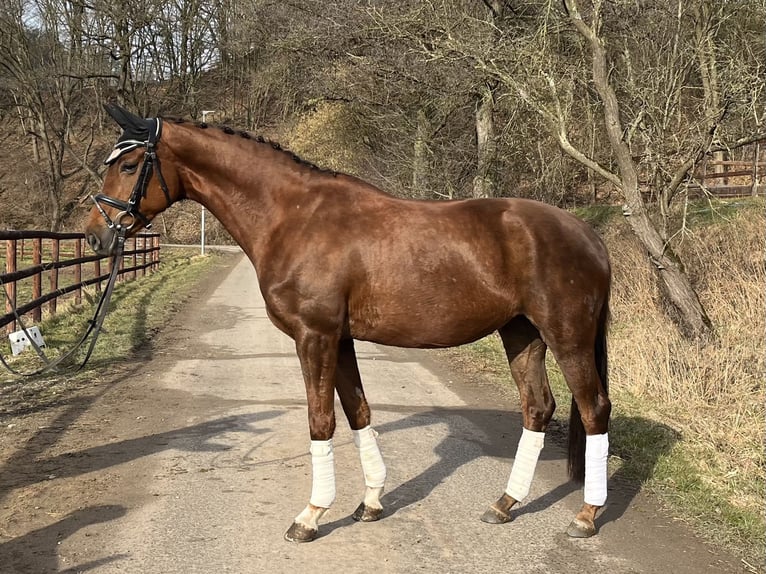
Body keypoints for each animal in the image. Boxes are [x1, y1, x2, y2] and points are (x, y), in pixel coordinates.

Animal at [85, 103, 612, 544]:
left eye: (128, 166)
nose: (94, 236)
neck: (292, 217)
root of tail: (587, 233)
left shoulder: (314, 337)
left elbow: (321, 421)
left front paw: (311, 516)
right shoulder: (339, 341)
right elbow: (359, 412)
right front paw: (371, 503)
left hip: (567, 337)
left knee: (594, 409)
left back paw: (586, 515)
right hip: (521, 333)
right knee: (537, 408)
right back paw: (504, 504)